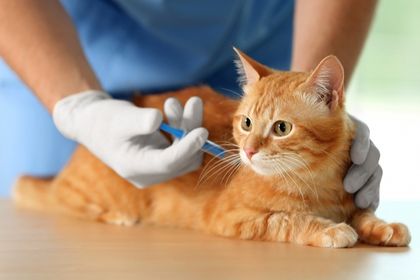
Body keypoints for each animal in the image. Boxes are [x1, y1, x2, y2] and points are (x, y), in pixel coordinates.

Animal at [12, 49, 410, 247]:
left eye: (281, 128)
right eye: (246, 123)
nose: (248, 151)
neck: (318, 185)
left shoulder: (351, 199)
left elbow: (364, 213)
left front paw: (384, 226)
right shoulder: (232, 218)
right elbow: (288, 219)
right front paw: (329, 230)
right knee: (63, 200)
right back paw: (116, 216)